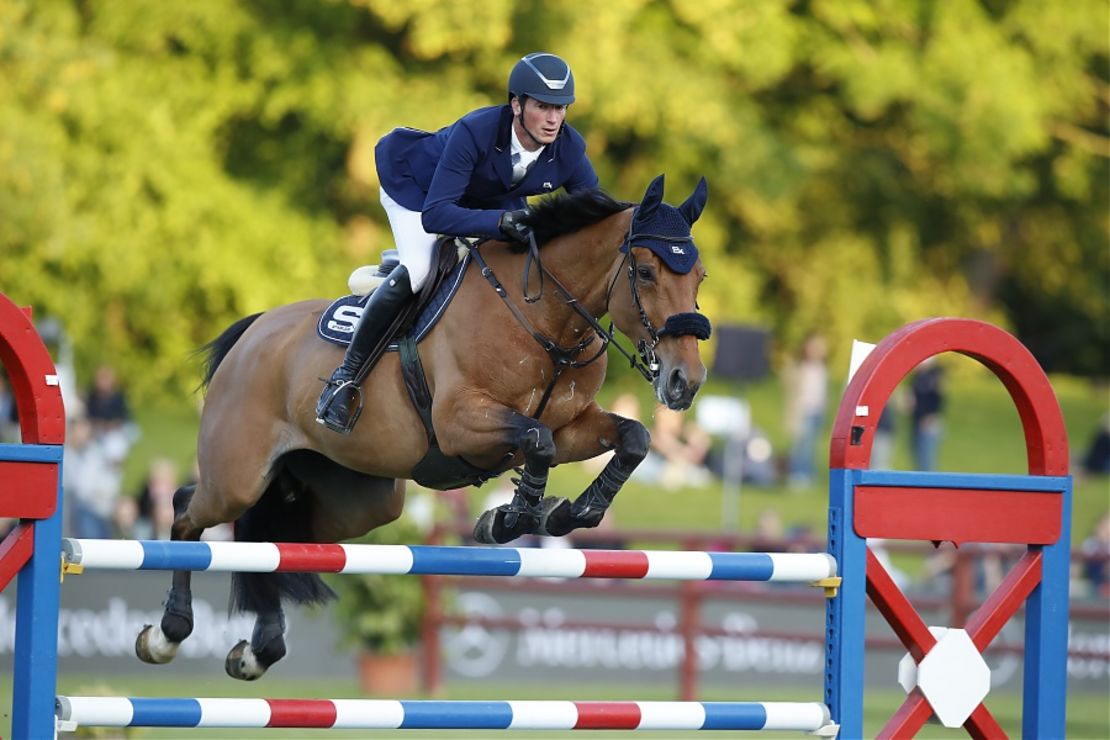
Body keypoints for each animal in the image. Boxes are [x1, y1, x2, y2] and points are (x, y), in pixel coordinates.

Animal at [136, 175, 710, 683]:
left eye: (699, 277)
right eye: (645, 271)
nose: (685, 381)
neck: (544, 319)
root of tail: (252, 331)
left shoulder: (573, 426)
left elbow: (631, 438)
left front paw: (573, 512)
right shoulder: (461, 425)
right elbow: (537, 442)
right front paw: (510, 519)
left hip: (360, 503)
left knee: (273, 538)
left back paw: (259, 651)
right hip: (238, 476)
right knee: (187, 510)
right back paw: (167, 634)